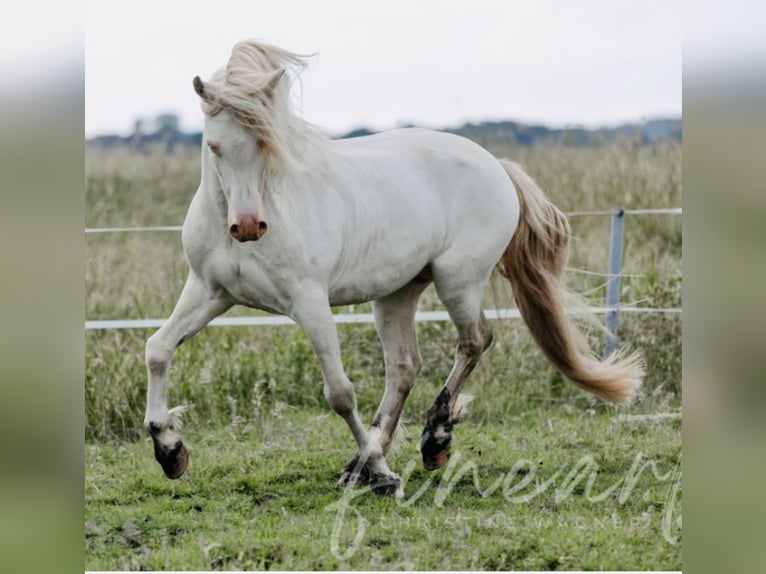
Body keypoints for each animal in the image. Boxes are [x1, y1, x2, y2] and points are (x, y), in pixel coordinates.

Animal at [142, 41, 640, 500]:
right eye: (214, 146)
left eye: (265, 143)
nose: (247, 226)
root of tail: (495, 165)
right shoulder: (210, 292)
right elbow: (157, 349)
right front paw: (169, 450)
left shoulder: (309, 302)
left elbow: (339, 392)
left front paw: (384, 475)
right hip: (397, 292)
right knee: (404, 367)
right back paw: (361, 464)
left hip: (458, 280)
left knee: (474, 340)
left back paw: (431, 442)